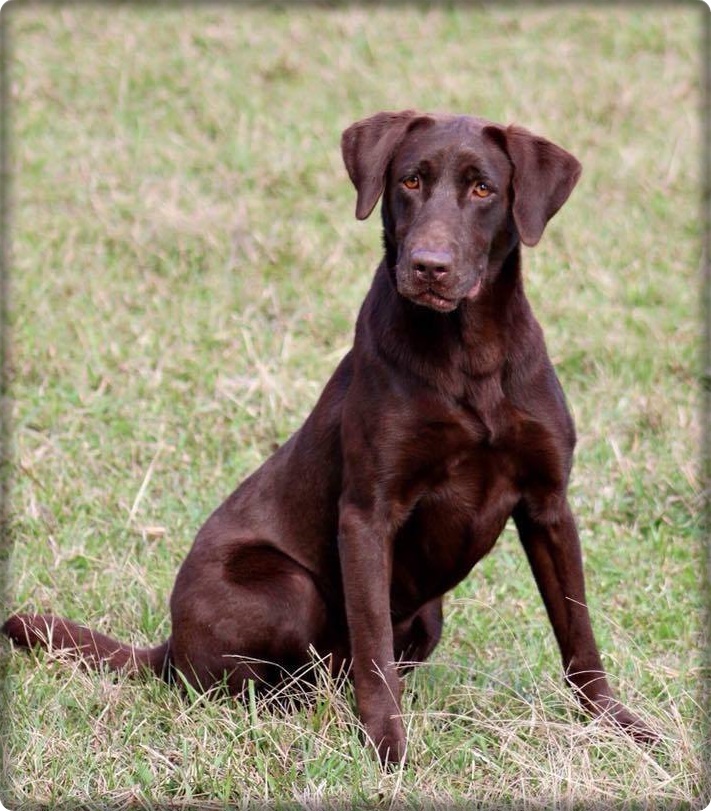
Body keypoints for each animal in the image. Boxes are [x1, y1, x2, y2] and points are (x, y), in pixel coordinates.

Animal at [2, 111, 656, 764]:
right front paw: (387, 744)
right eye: (410, 181)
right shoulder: (368, 512)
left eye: (482, 189)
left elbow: (579, 634)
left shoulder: (548, 505)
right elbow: (374, 647)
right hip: (286, 588)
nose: (429, 265)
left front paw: (619, 726)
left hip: (428, 614)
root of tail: (167, 646)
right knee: (250, 681)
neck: (469, 353)